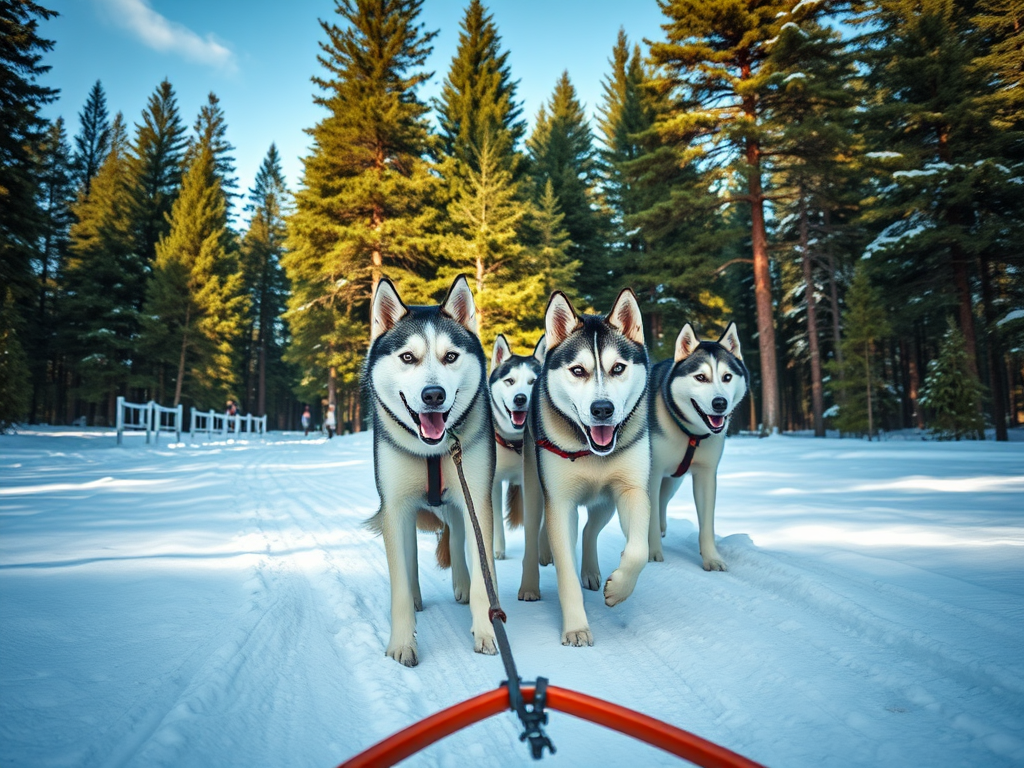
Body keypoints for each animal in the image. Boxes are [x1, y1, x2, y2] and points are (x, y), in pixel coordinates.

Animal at [366, 274, 497, 667]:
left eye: (450, 356)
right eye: (408, 357)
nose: (433, 395)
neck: (433, 451)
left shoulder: (477, 500)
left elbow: (484, 576)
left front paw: (486, 632)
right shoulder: (395, 508)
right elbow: (399, 585)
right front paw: (401, 644)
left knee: (457, 536)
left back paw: (462, 586)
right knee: (409, 558)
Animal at [485, 333, 544, 561]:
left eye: (532, 381)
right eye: (509, 381)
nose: (520, 398)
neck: (516, 442)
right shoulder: (493, 482)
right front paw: (498, 550)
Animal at [516, 290, 651, 647]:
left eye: (618, 368)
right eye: (578, 370)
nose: (602, 408)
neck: (592, 451)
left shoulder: (632, 490)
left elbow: (639, 550)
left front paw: (619, 589)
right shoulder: (560, 503)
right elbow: (565, 573)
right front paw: (576, 627)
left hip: (605, 502)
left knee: (591, 529)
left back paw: (590, 572)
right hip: (535, 492)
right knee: (532, 537)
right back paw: (529, 585)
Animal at [651, 321, 749, 569]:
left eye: (727, 377)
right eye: (701, 377)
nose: (720, 403)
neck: (690, 434)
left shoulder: (706, 475)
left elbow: (706, 524)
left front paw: (712, 558)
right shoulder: (651, 474)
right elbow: (649, 518)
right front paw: (652, 553)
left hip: (672, 481)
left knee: (662, 501)